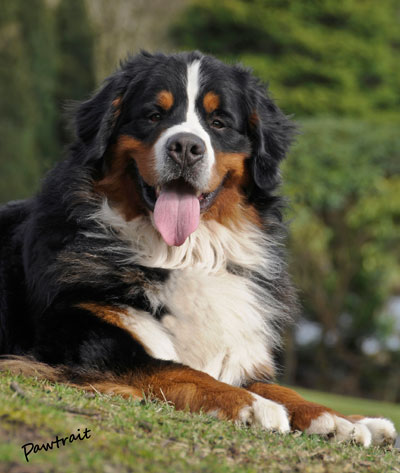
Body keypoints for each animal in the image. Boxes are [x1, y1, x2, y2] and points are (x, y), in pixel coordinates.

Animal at [0, 51, 396, 446]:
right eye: (154, 115)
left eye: (219, 122)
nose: (186, 147)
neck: (188, 253)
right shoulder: (93, 337)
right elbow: (179, 370)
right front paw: (251, 405)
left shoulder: (240, 352)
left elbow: (279, 387)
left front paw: (332, 418)